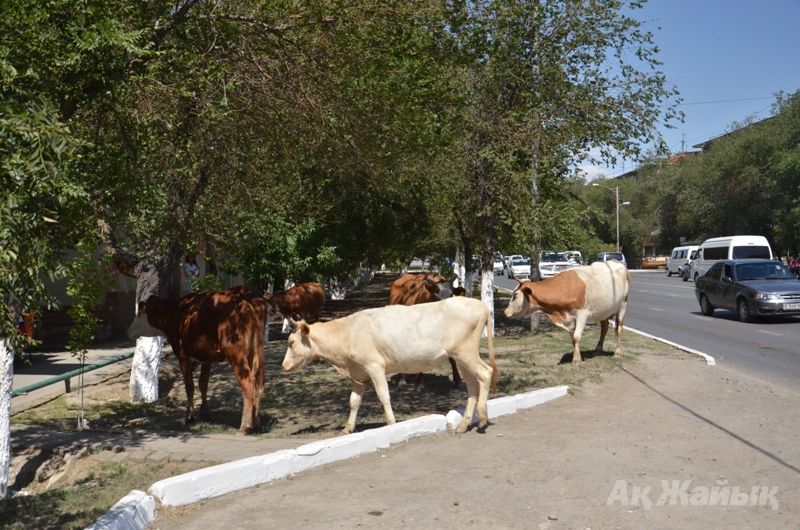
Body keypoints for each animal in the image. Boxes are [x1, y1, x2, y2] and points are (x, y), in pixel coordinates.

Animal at [128, 286, 268, 432]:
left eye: (139, 314)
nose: (128, 331)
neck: (176, 313)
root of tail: (246, 297)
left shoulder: (183, 355)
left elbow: (190, 386)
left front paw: (190, 418)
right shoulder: (206, 358)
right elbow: (203, 384)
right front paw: (205, 413)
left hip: (236, 355)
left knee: (248, 382)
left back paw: (245, 425)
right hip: (256, 352)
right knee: (259, 382)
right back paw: (256, 422)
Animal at [280, 294, 494, 432]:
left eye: (291, 342)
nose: (284, 366)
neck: (348, 332)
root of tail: (481, 305)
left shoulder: (374, 366)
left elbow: (384, 396)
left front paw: (392, 423)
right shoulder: (358, 374)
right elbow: (353, 401)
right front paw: (347, 429)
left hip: (466, 353)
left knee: (485, 373)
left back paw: (483, 417)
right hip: (461, 358)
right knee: (472, 387)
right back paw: (463, 425)